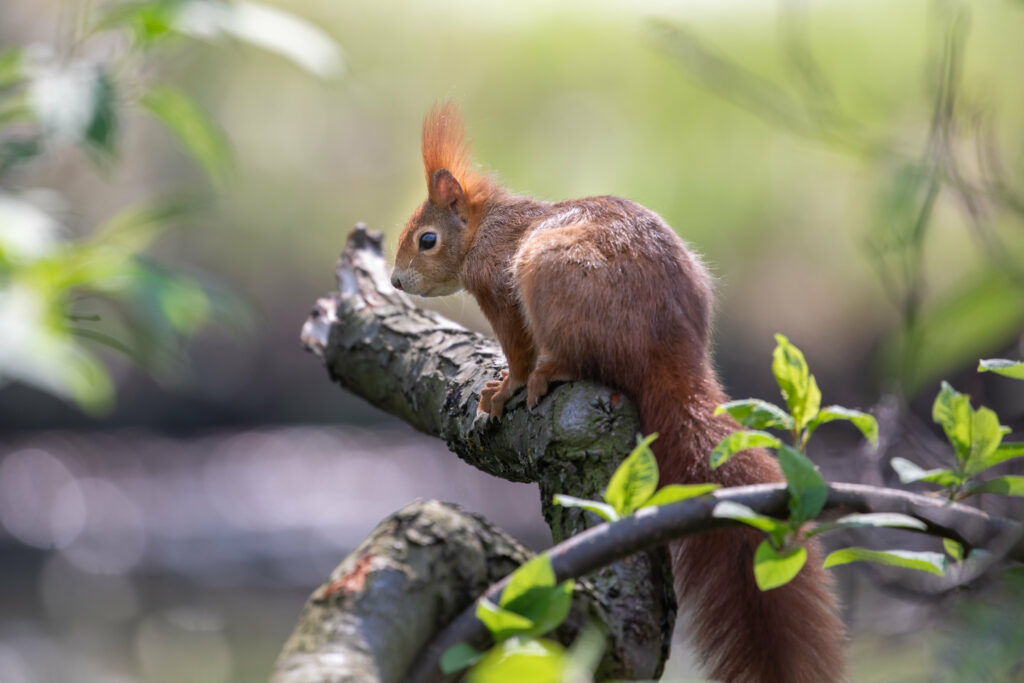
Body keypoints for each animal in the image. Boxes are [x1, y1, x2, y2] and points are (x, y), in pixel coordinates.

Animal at [390, 102, 845, 683]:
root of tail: (667, 350)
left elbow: (517, 349)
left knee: (570, 358)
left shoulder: (500, 287)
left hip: (546, 273)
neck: (487, 225)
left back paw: (547, 374)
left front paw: (503, 388)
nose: (397, 281)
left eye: (426, 239)